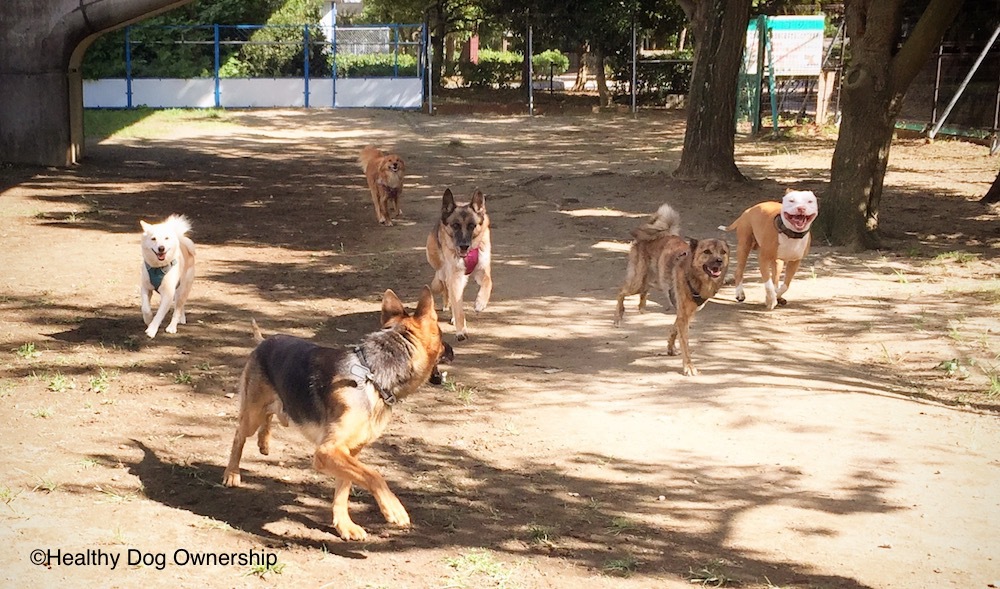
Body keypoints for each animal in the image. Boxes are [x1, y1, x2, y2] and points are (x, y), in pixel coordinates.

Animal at [223, 288, 454, 540]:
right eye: (441, 335)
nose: (453, 349)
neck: (373, 375)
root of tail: (263, 342)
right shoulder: (328, 451)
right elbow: (374, 475)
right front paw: (393, 509)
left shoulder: (349, 452)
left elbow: (344, 488)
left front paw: (344, 525)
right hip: (251, 415)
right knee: (239, 435)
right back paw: (231, 474)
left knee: (268, 417)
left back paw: (264, 443)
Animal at [426, 188, 492, 342]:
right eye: (455, 225)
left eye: (472, 226)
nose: (463, 246)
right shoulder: (455, 277)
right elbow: (458, 307)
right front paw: (461, 330)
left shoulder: (482, 271)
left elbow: (488, 282)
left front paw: (480, 302)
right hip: (443, 272)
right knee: (446, 288)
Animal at [608, 202, 728, 376]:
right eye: (707, 252)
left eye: (723, 252)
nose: (719, 261)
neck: (694, 275)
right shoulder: (683, 314)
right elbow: (685, 342)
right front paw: (688, 366)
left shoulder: (687, 314)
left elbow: (674, 330)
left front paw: (671, 348)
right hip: (637, 282)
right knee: (621, 291)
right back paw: (618, 317)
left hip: (654, 281)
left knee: (644, 291)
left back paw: (642, 306)